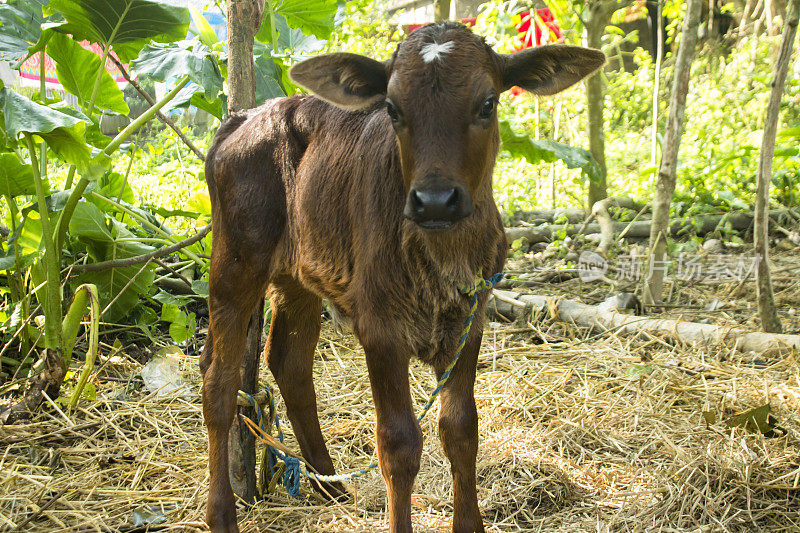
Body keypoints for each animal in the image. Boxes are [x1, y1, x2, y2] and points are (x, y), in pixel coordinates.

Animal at [200, 21, 600, 532]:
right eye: (392, 107)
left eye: (488, 103)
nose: (435, 200)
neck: (443, 255)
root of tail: (244, 117)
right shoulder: (379, 328)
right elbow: (399, 444)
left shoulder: (471, 321)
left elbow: (461, 429)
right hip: (237, 259)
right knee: (219, 381)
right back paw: (222, 513)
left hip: (299, 273)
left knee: (289, 364)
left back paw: (330, 486)